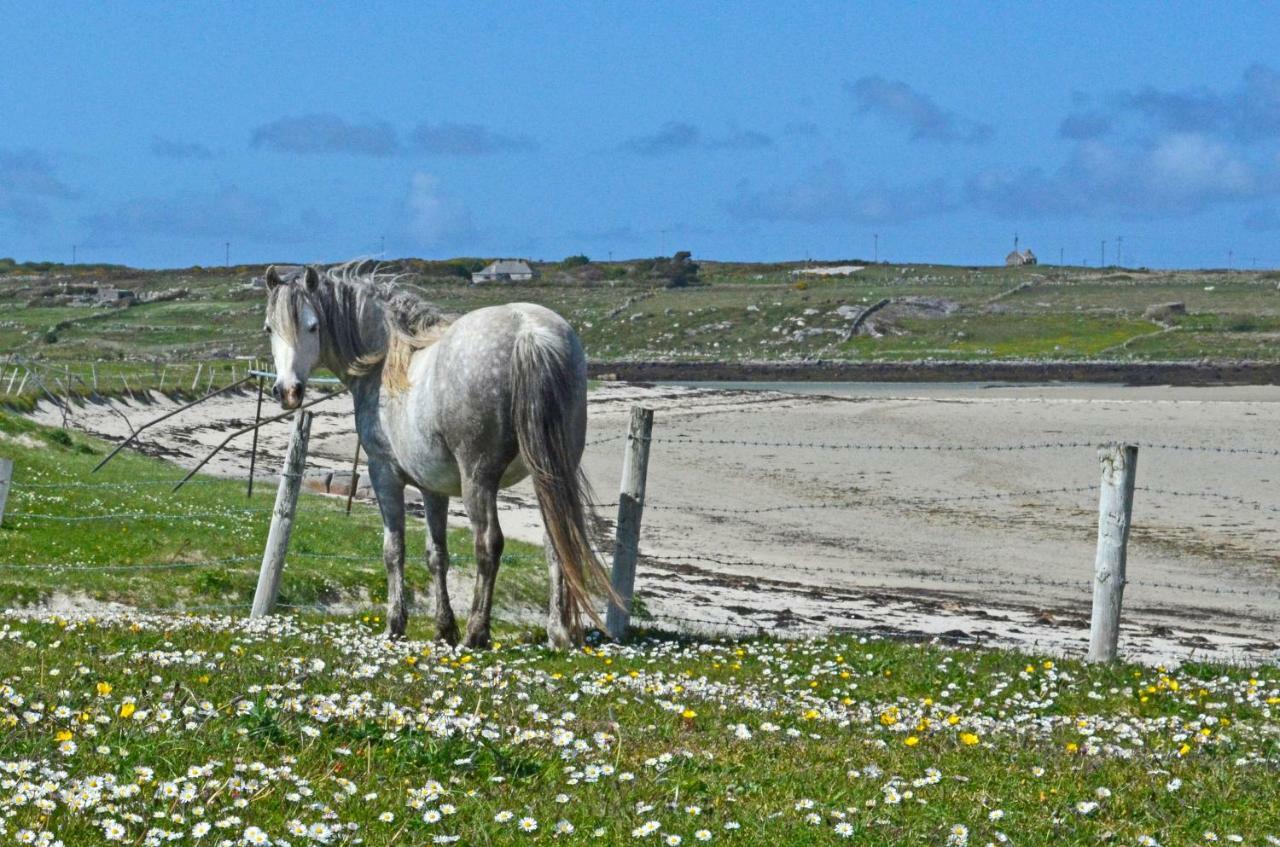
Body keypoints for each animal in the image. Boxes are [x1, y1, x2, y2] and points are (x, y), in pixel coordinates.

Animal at [262, 266, 606, 649]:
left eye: (313, 326)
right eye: (269, 328)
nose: (288, 391)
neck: (387, 362)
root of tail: (527, 331)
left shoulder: (384, 475)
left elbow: (394, 550)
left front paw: (396, 624)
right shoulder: (433, 488)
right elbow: (436, 554)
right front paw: (444, 627)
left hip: (478, 479)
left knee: (488, 544)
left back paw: (476, 632)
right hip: (549, 474)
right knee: (556, 542)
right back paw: (558, 633)